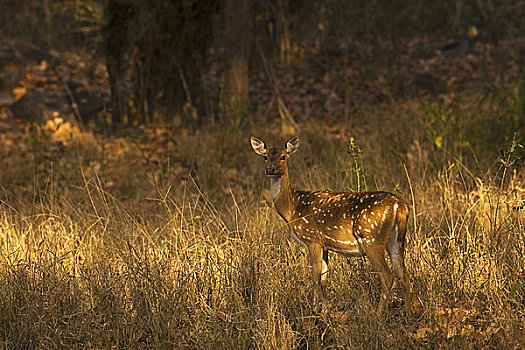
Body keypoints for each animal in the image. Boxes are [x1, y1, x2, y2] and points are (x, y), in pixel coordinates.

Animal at [252, 136, 412, 314]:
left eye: (283, 157)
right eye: (265, 157)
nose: (270, 169)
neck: (293, 208)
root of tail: (400, 205)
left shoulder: (312, 238)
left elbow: (315, 275)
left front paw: (313, 309)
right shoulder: (325, 245)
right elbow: (324, 277)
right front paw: (325, 310)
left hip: (371, 238)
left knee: (387, 276)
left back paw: (378, 314)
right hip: (396, 239)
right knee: (404, 274)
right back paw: (409, 312)